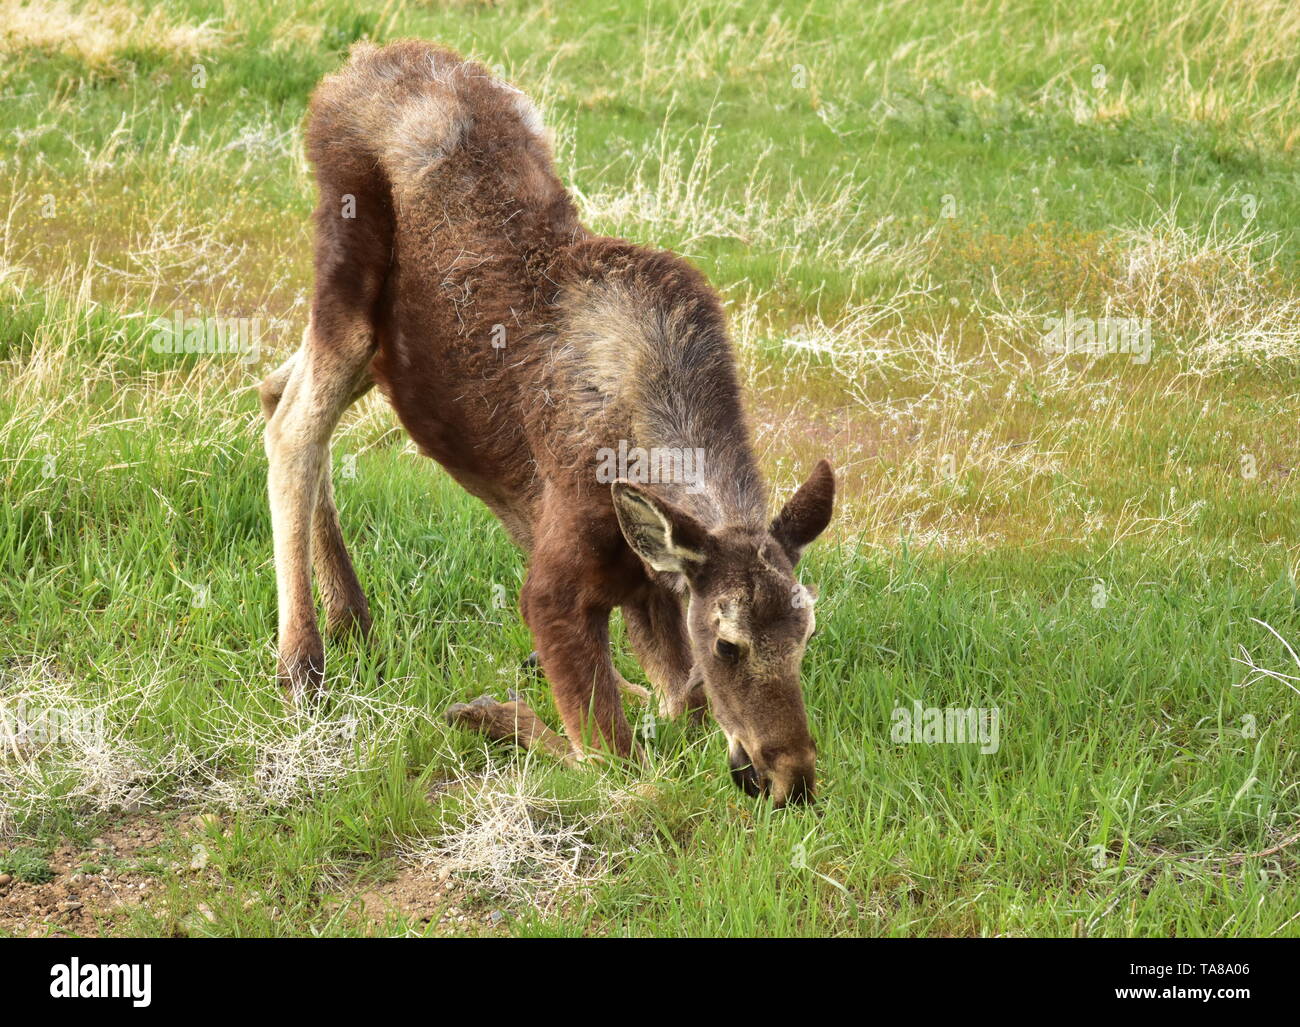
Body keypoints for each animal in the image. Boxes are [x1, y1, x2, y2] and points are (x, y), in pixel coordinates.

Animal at [259, 40, 836, 807]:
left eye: (805, 634)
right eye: (728, 642)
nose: (791, 778)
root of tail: (351, 67)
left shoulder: (648, 582)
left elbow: (682, 699)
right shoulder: (556, 587)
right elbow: (612, 757)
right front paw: (491, 713)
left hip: (387, 355)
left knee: (273, 387)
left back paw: (351, 614)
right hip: (348, 287)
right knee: (296, 425)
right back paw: (303, 661)